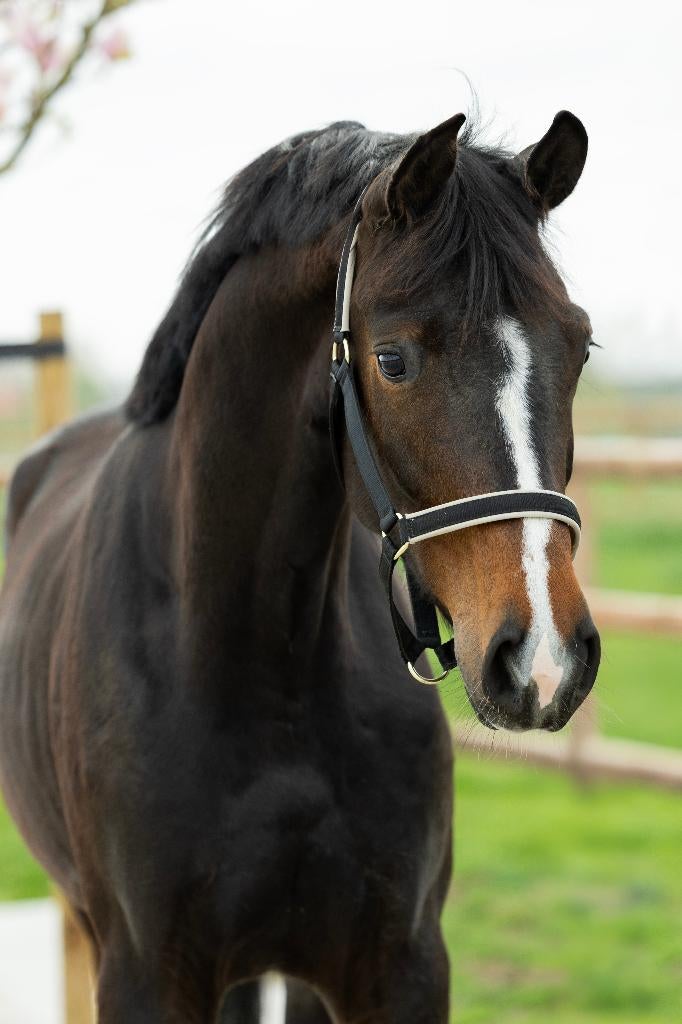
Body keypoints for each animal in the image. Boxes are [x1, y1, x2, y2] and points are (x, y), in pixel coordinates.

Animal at [0, 110, 600, 1023]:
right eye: (392, 359)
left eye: (581, 347)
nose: (543, 658)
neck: (254, 658)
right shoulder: (145, 974)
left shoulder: (397, 964)